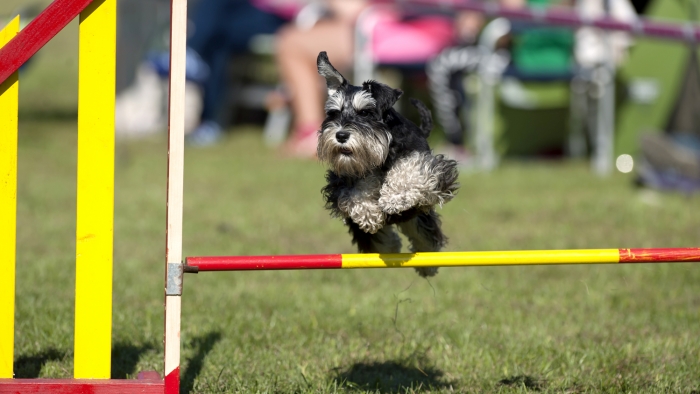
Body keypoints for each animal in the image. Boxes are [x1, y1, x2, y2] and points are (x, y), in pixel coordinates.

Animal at [316, 51, 460, 278]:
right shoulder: (341, 181)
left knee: (425, 234)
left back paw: (427, 263)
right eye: (333, 113)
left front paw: (395, 196)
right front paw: (368, 213)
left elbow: (410, 171)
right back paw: (389, 247)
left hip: (419, 216)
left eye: (365, 112)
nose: (341, 135)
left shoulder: (430, 166)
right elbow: (355, 192)